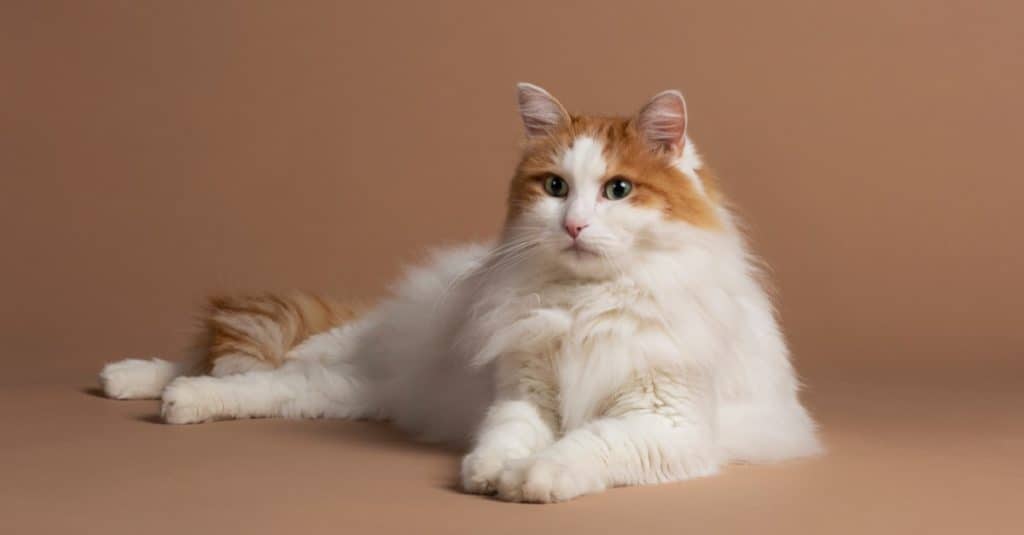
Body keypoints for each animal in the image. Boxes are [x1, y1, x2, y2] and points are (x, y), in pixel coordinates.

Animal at [99, 83, 819, 500]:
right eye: (555, 187)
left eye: (618, 189)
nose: (575, 224)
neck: (581, 304)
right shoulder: (522, 395)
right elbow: (507, 437)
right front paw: (492, 472)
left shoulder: (662, 420)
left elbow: (583, 445)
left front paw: (529, 479)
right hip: (339, 357)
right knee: (234, 364)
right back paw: (137, 380)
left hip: (347, 390)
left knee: (264, 384)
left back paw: (168, 397)